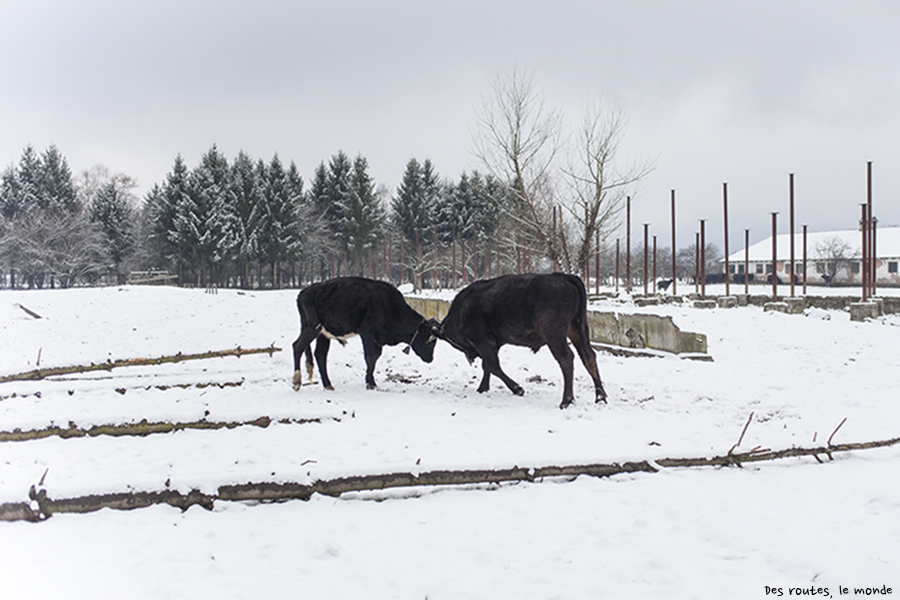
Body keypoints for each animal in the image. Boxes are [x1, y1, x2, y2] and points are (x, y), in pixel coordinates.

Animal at [290, 278, 442, 392]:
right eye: (429, 341)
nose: (430, 359)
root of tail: (303, 292)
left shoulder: (377, 339)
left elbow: (375, 357)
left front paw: (370, 381)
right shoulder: (367, 333)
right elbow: (370, 357)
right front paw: (370, 384)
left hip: (323, 334)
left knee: (320, 355)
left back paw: (328, 385)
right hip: (312, 328)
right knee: (297, 347)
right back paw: (297, 382)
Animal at [434, 274, 604, 410]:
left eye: (455, 342)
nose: (470, 356)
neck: (461, 310)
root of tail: (565, 277)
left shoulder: (484, 343)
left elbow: (493, 366)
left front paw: (517, 389)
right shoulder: (493, 345)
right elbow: (487, 366)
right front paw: (482, 388)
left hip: (555, 336)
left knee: (566, 358)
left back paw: (566, 401)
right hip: (576, 329)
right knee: (588, 355)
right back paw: (600, 397)